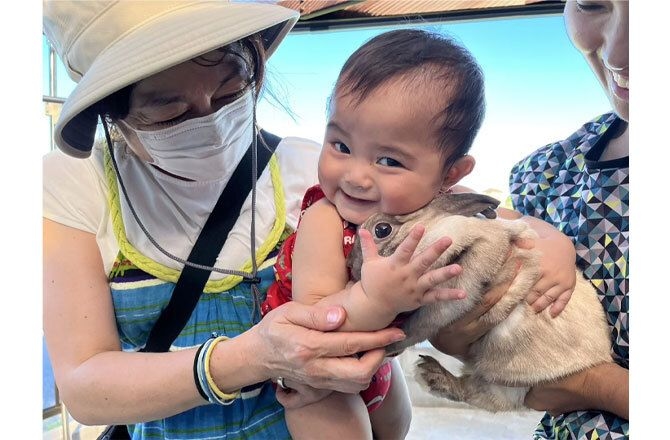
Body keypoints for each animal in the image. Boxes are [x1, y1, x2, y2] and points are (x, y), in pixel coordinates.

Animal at [350, 192, 616, 412]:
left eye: (382, 230)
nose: (351, 266)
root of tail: (601, 358)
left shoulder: (454, 291)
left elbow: (418, 326)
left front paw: (390, 344)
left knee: (478, 395)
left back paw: (431, 375)